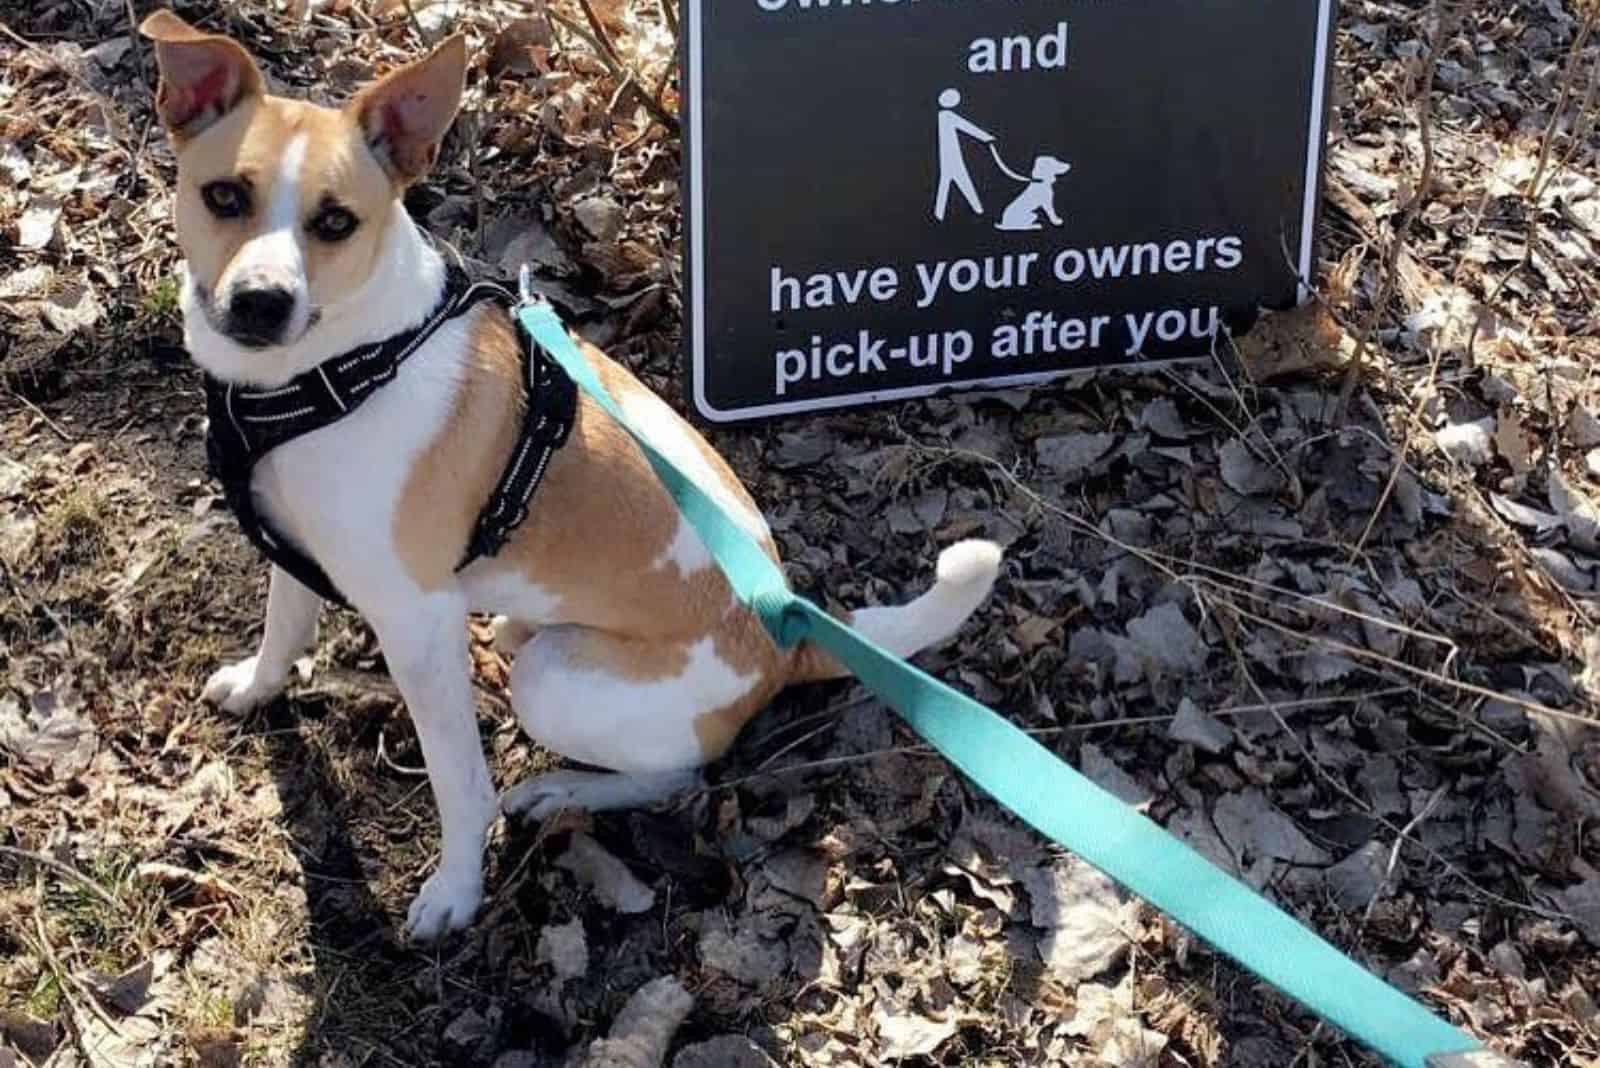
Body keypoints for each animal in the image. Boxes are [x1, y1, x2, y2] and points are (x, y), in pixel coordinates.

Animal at [147, 12, 998, 940]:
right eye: (225, 197)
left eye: (335, 221)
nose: (261, 302)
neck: (339, 366)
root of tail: (784, 638)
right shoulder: (295, 545)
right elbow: (281, 629)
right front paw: (257, 688)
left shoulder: (418, 623)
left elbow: (460, 782)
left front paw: (456, 889)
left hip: (553, 684)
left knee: (681, 772)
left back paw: (563, 790)